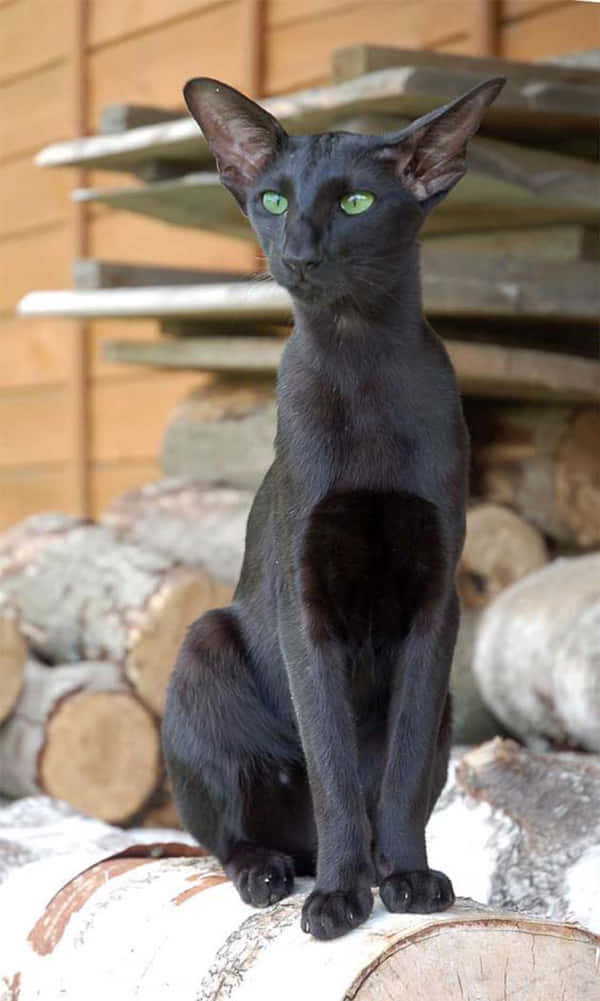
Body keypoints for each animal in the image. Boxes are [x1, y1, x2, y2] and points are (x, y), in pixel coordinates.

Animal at [162, 74, 504, 940]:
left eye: (354, 202)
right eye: (274, 199)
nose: (299, 253)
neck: (359, 361)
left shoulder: (434, 604)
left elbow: (399, 771)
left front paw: (405, 877)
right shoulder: (305, 601)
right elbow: (333, 765)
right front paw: (342, 897)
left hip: (448, 700)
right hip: (205, 643)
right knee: (229, 833)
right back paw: (276, 873)